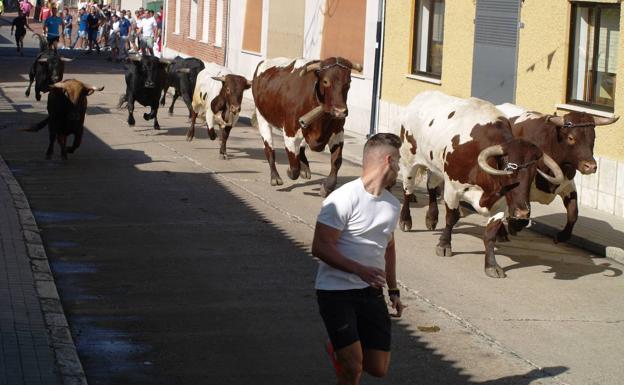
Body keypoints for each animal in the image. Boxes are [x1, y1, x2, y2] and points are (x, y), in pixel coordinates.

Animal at [400, 91, 564, 278]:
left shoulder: (502, 203)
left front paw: (491, 265)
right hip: (408, 161)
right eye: (510, 168)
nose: (522, 213)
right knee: (407, 190)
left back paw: (431, 218)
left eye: (533, 173)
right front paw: (444, 245)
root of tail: (422, 96)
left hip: (435, 166)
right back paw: (405, 220)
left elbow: (490, 233)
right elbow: (451, 218)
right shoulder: (452, 189)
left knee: (432, 187)